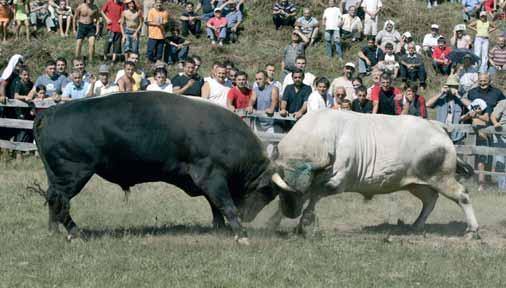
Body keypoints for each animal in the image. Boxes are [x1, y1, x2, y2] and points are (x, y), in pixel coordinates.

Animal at [33, 92, 278, 241]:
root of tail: (51, 112)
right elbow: (225, 204)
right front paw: (241, 234)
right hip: (74, 174)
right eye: (267, 192)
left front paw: (221, 228)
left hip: (57, 176)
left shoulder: (207, 180)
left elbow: (215, 206)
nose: (249, 216)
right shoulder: (211, 177)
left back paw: (54, 231)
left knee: (52, 199)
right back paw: (76, 233)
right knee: (60, 202)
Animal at [272, 109, 478, 236]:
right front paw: (276, 220)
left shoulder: (336, 182)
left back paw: (472, 230)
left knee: (462, 195)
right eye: (281, 190)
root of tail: (439, 128)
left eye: (301, 190)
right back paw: (416, 225)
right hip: (417, 183)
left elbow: (314, 197)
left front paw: (303, 223)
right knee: (430, 200)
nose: (290, 211)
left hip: (442, 178)